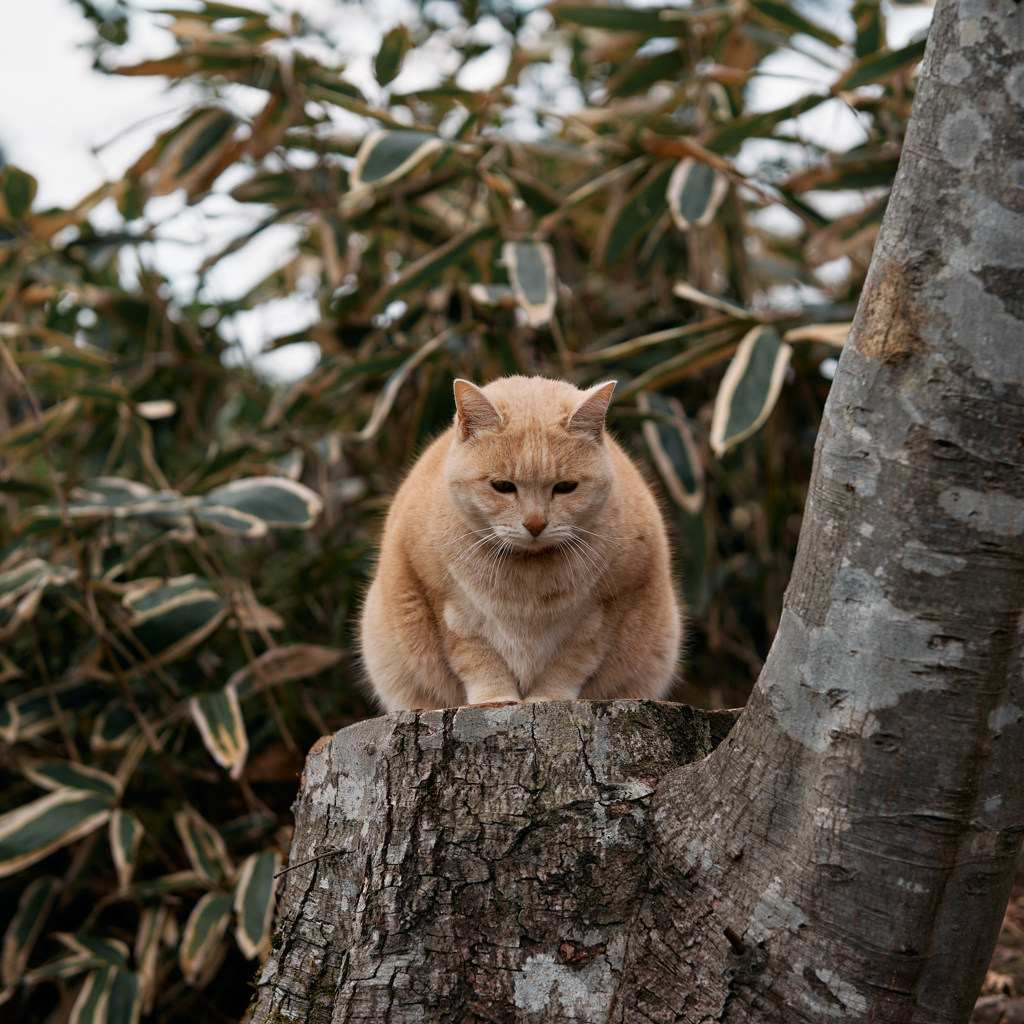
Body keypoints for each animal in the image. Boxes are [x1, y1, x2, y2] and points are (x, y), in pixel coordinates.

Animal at [356, 376, 684, 712]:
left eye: (565, 487)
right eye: (503, 486)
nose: (536, 524)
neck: (527, 579)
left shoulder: (604, 612)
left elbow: (569, 663)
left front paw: (548, 698)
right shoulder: (447, 608)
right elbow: (479, 660)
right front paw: (494, 699)